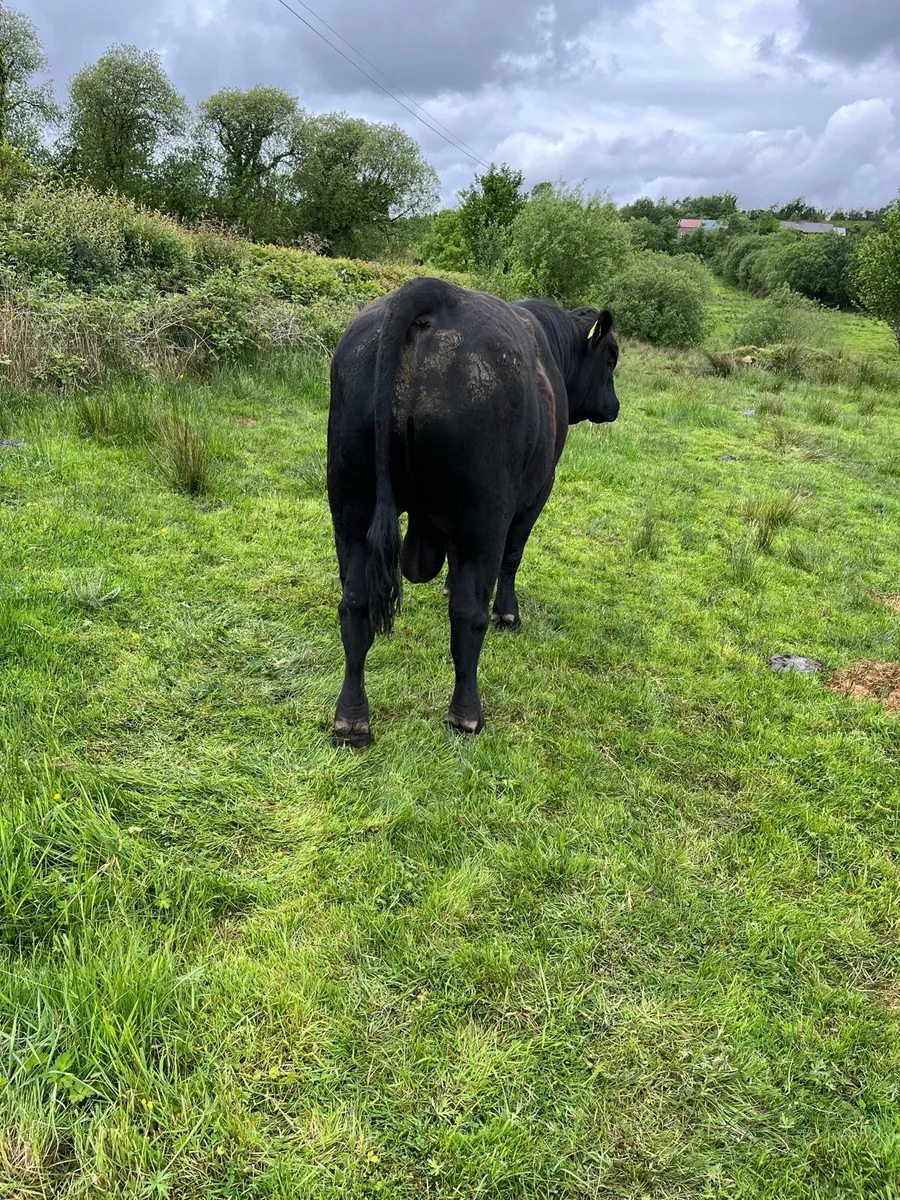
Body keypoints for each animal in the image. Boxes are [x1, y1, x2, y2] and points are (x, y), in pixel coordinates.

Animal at [327, 276, 620, 747]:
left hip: (351, 504)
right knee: (468, 616)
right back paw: (466, 715)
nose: (614, 406)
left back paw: (351, 720)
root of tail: (431, 292)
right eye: (610, 358)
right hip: (482, 513)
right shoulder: (535, 493)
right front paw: (508, 613)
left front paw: (447, 585)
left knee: (355, 605)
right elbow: (512, 558)